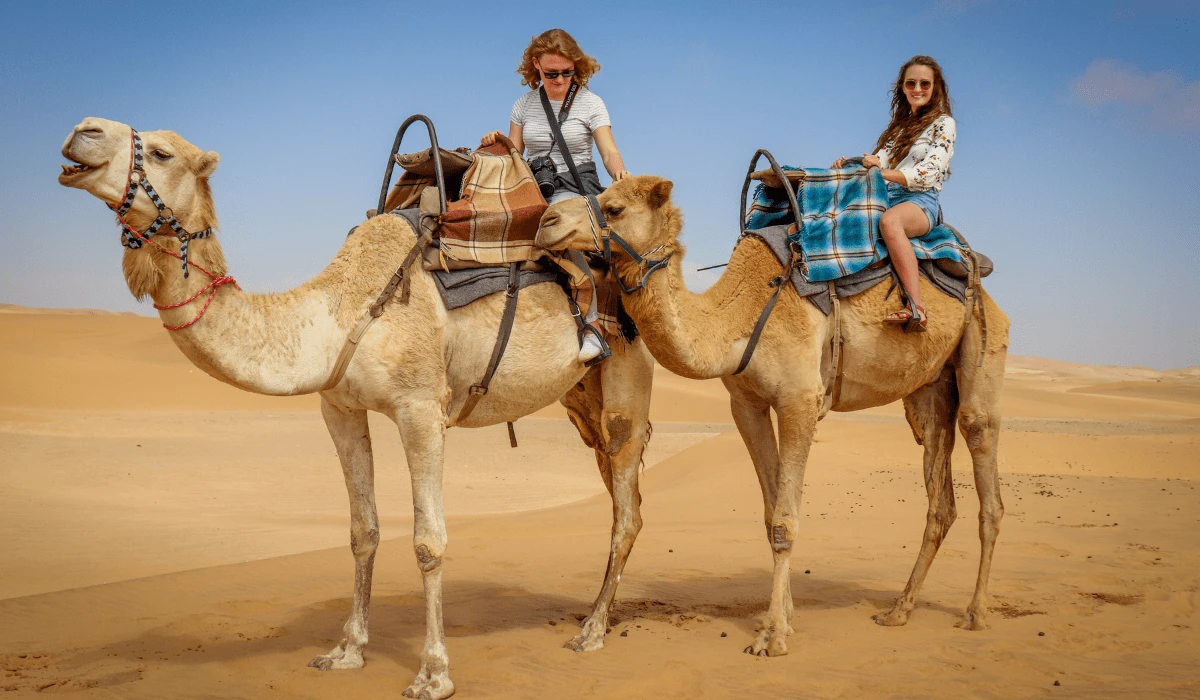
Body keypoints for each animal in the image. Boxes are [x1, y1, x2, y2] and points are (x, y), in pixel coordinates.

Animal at [56, 117, 657, 696]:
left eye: (161, 153)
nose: (82, 131)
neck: (337, 311)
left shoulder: (421, 408)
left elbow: (428, 541)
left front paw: (432, 674)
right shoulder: (339, 409)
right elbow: (361, 530)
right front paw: (346, 650)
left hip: (626, 376)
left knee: (626, 507)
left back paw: (592, 631)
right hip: (581, 399)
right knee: (620, 496)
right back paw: (596, 615)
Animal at [540, 162, 1008, 657]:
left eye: (613, 207)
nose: (546, 222)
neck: (737, 318)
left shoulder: (800, 398)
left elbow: (785, 520)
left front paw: (773, 637)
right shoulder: (746, 405)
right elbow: (769, 516)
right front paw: (785, 619)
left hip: (984, 348)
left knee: (984, 462)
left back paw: (976, 613)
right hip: (929, 389)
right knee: (939, 487)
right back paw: (898, 610)